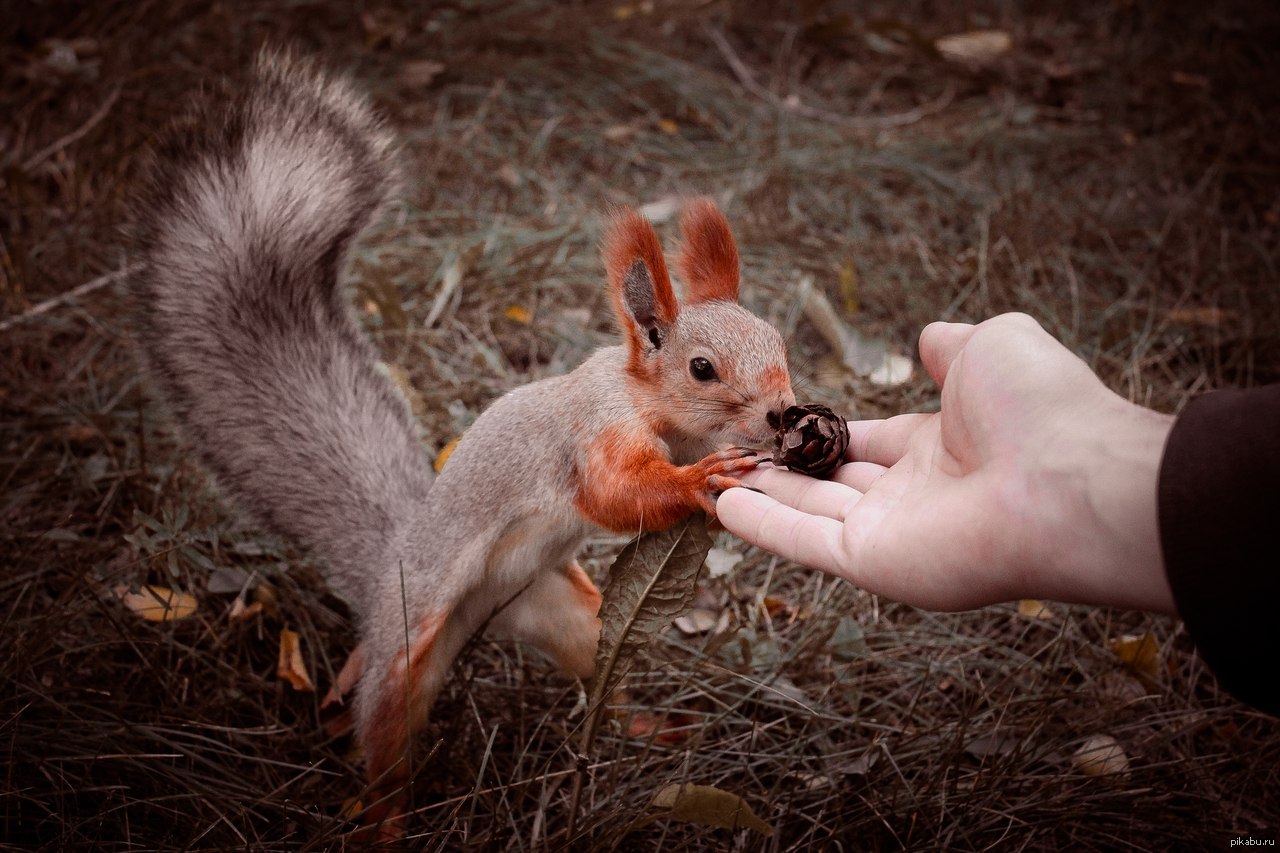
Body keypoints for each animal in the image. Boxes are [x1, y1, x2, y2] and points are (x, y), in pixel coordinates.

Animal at [137, 51, 788, 829]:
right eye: (702, 368)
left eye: (780, 341)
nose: (786, 413)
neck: (650, 404)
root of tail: (394, 560)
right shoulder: (590, 430)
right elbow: (614, 492)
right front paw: (699, 482)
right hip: (404, 652)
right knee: (386, 742)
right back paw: (388, 824)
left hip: (567, 613)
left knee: (597, 671)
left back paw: (649, 729)